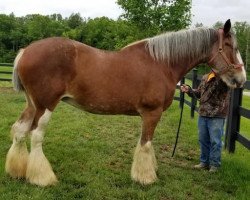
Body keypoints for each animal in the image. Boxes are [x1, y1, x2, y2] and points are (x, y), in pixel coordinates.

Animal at [5, 19, 246, 187]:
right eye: (229, 46)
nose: (241, 79)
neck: (162, 63)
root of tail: (25, 51)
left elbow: (147, 144)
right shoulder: (152, 113)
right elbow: (146, 144)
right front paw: (146, 178)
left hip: (32, 104)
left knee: (19, 131)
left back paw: (17, 171)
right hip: (45, 106)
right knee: (36, 135)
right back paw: (42, 178)